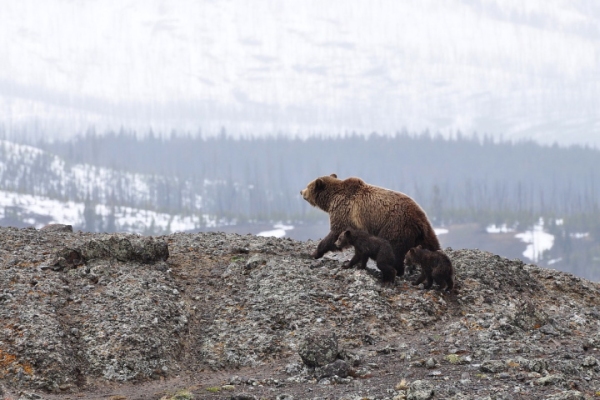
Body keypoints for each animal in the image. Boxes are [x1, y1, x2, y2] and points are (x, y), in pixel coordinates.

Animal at [302, 173, 438, 276]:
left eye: (308, 186)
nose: (301, 191)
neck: (331, 199)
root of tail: (419, 219)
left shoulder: (344, 212)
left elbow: (335, 233)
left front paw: (315, 253)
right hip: (424, 232)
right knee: (432, 245)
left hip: (395, 225)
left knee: (394, 249)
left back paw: (395, 270)